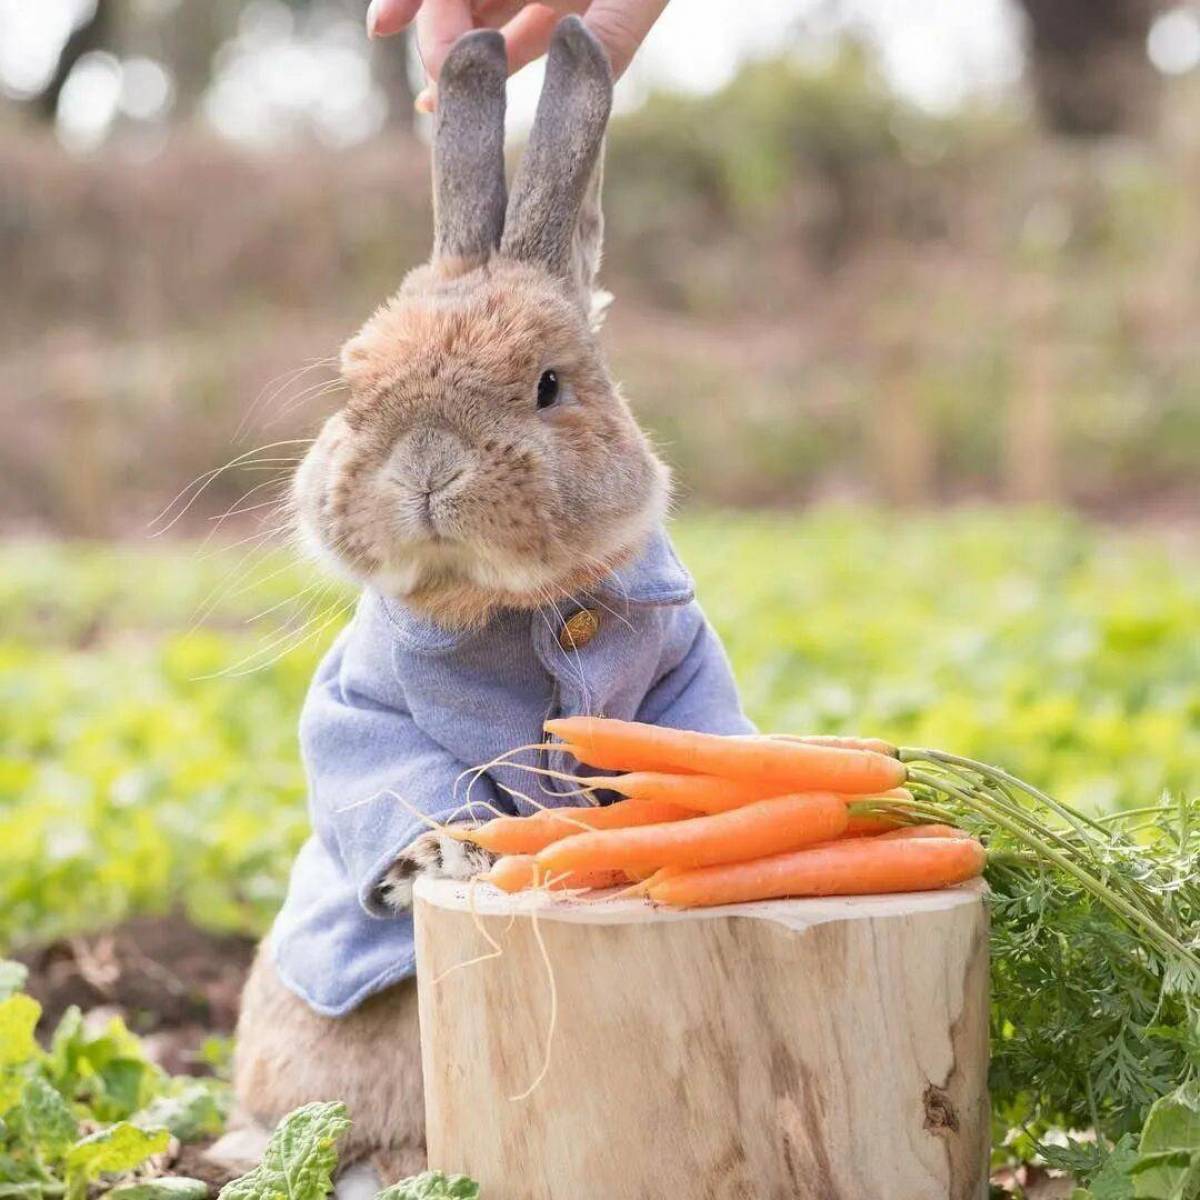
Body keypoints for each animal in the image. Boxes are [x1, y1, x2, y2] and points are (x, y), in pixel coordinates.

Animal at [225, 14, 748, 1185]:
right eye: (354, 384)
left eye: (549, 385)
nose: (425, 466)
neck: (515, 609)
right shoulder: (362, 704)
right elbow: (399, 773)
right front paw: (448, 854)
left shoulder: (685, 674)